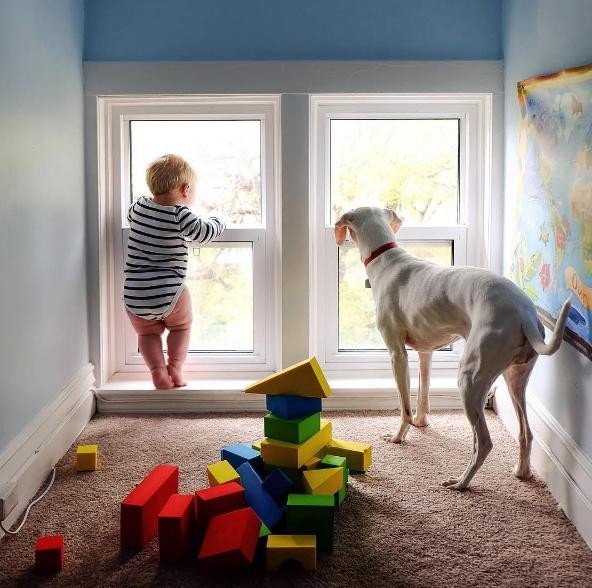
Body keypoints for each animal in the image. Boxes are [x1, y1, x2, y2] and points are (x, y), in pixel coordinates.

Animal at [336, 208, 572, 492]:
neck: (386, 259)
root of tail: (523, 312)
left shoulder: (397, 354)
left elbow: (404, 408)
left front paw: (398, 437)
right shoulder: (425, 352)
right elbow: (422, 393)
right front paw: (421, 423)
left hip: (469, 378)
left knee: (484, 442)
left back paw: (461, 483)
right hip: (515, 377)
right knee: (526, 432)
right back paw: (521, 472)